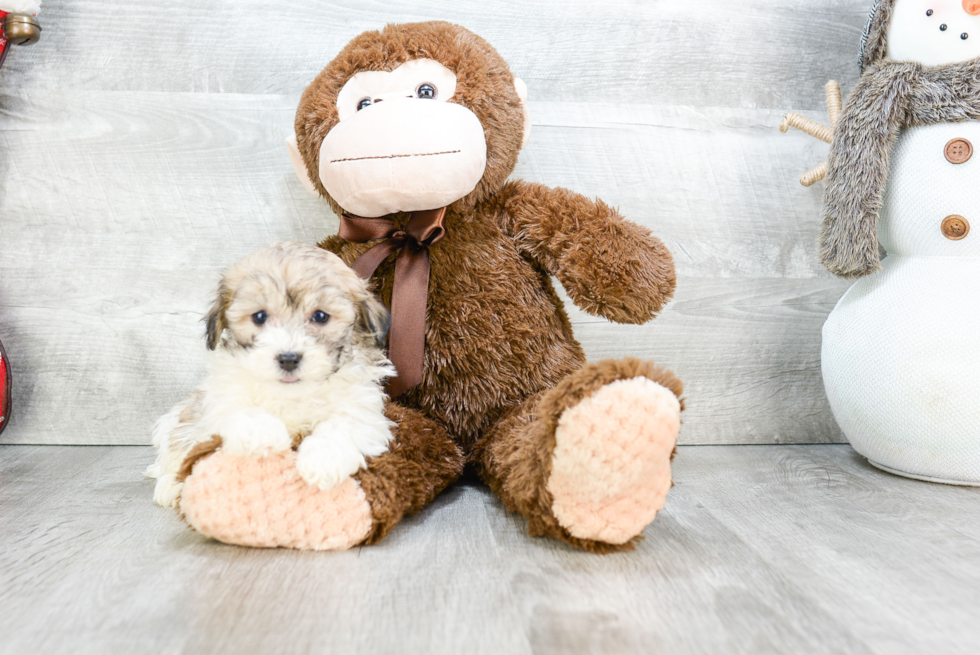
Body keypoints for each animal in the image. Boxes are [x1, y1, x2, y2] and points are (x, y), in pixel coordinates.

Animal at [147, 241, 392, 508]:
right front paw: (261, 435)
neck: (291, 394)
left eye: (320, 316)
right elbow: (238, 410)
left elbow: (342, 423)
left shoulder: (362, 406)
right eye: (260, 316)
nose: (289, 358)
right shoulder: (221, 396)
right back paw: (169, 486)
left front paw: (323, 460)